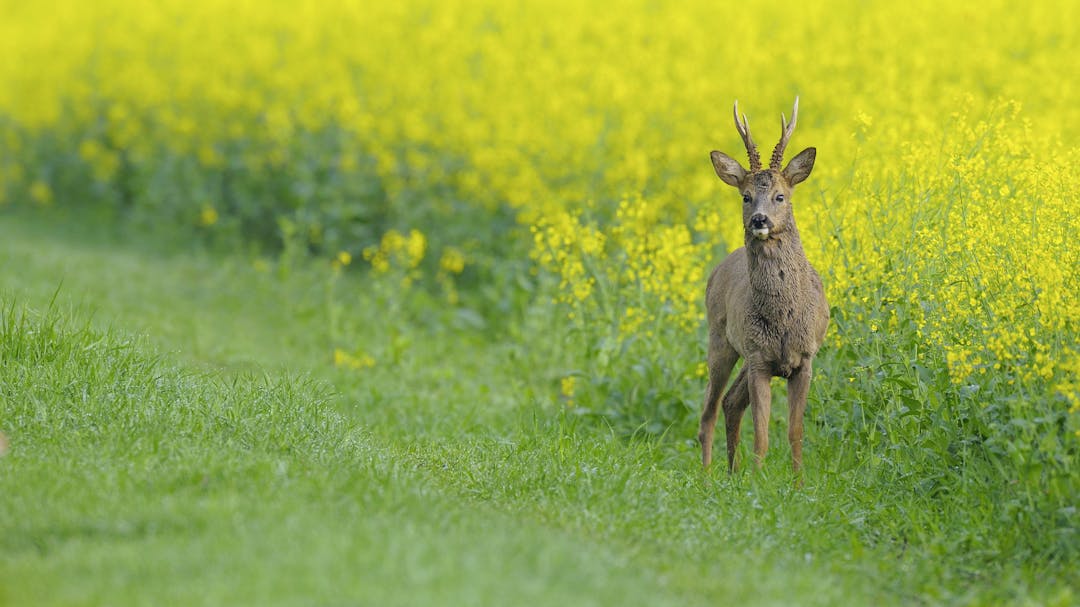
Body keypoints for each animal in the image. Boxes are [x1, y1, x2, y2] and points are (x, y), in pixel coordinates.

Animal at [699, 95, 825, 473]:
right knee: (709, 411)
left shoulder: (804, 358)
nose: (759, 220)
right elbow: (762, 435)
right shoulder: (758, 358)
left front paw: (798, 482)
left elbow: (795, 434)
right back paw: (707, 476)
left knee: (729, 401)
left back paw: (730, 473)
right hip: (720, 339)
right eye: (745, 196)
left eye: (781, 196)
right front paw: (758, 479)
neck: (783, 317)